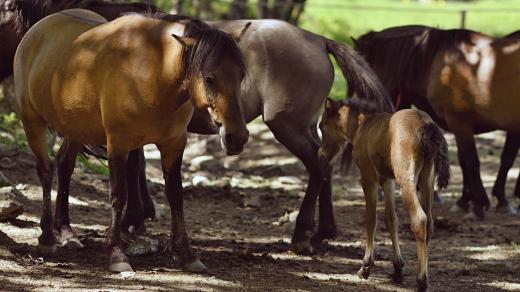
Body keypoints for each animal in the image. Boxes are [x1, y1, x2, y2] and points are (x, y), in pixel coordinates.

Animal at [12, 9, 248, 274]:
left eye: (241, 75)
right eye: (209, 78)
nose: (237, 138)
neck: (153, 70)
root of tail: (36, 30)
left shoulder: (173, 145)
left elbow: (175, 196)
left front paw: (186, 255)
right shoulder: (118, 144)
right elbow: (118, 196)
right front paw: (117, 255)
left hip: (75, 127)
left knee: (64, 166)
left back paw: (66, 233)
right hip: (32, 122)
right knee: (45, 170)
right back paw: (47, 239)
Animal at [318, 98, 448, 292]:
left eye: (322, 126)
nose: (321, 154)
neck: (363, 125)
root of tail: (422, 121)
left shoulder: (368, 178)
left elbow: (370, 218)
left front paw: (365, 267)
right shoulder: (388, 180)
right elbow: (391, 218)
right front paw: (397, 269)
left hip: (406, 179)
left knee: (420, 219)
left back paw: (421, 280)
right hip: (428, 178)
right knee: (430, 222)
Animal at [354, 25, 520, 218]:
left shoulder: (460, 123)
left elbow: (474, 161)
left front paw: (481, 202)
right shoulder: (461, 125)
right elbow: (468, 162)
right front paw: (467, 201)